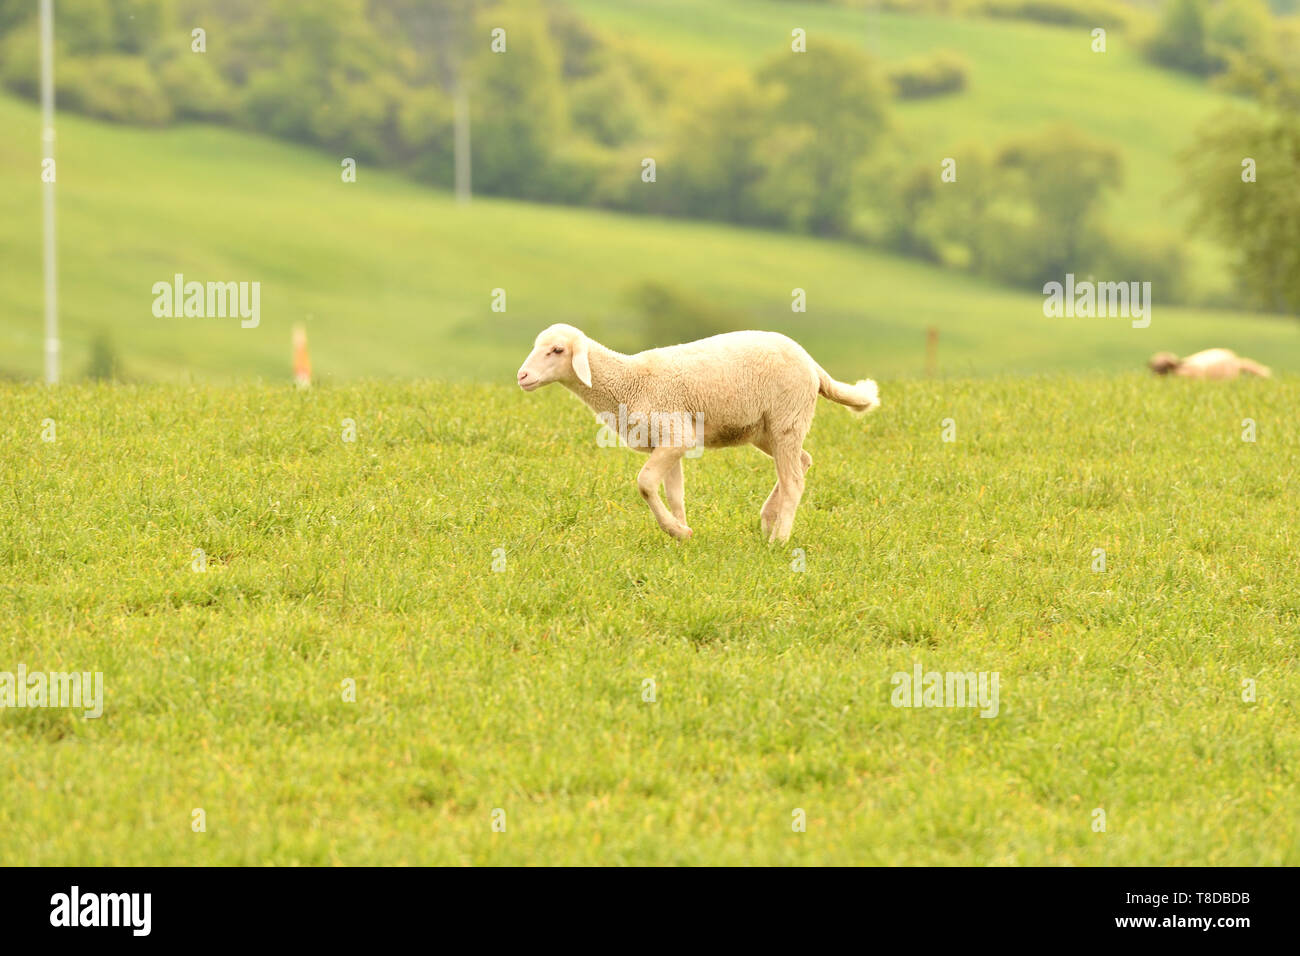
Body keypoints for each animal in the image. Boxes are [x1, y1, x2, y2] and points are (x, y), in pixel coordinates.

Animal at [517, 323, 880, 543]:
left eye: (557, 350)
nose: (522, 376)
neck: (628, 382)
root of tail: (812, 363)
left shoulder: (676, 434)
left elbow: (645, 483)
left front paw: (675, 531)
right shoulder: (665, 441)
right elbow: (674, 492)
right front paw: (682, 532)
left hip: (786, 420)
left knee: (794, 480)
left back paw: (779, 539)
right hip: (767, 430)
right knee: (803, 461)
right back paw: (767, 522)